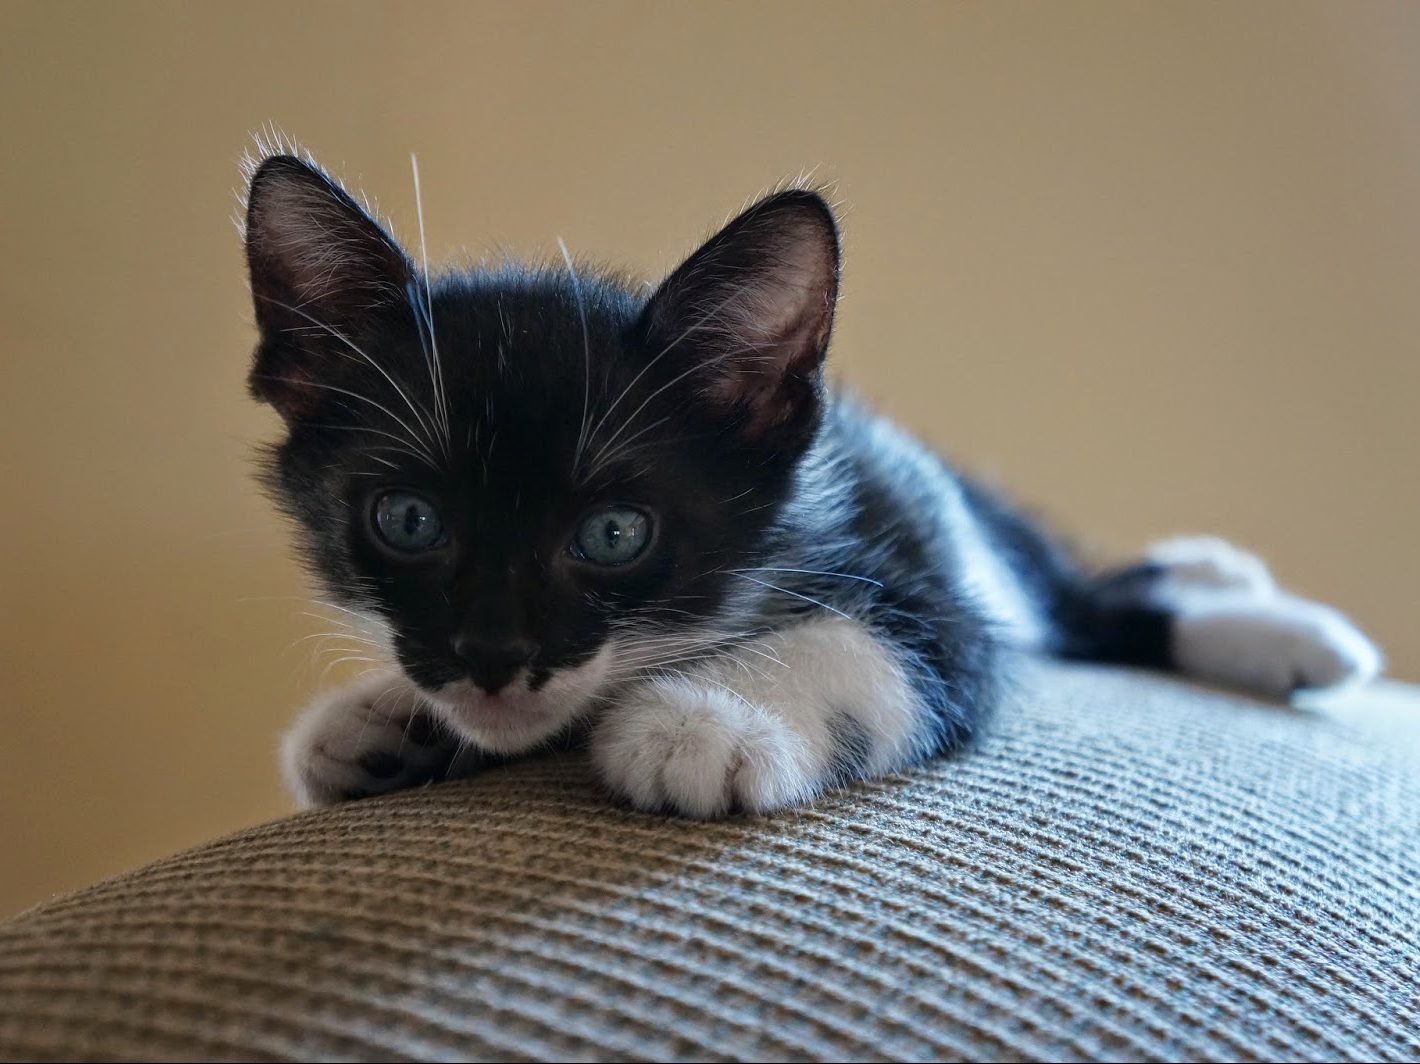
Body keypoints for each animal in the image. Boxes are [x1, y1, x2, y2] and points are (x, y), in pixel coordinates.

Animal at [241, 147, 1374, 812]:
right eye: (408, 518)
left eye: (613, 534)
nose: (491, 656)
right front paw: (373, 722)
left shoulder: (932, 596)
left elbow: (870, 642)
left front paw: (703, 722)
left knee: (1081, 604)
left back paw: (1279, 625)